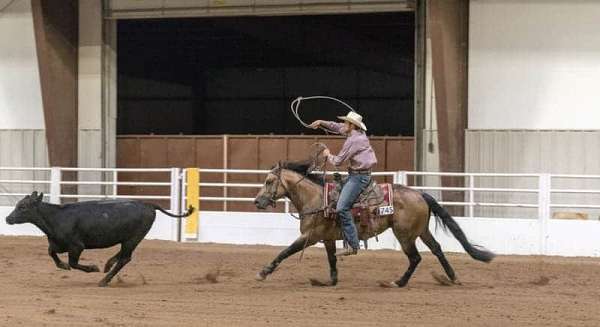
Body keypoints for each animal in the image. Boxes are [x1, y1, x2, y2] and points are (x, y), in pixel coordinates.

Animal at [252, 161, 492, 288]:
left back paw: (398, 282)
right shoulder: (327, 238)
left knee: (416, 257)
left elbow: (285, 252)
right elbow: (332, 260)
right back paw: (451, 277)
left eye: (269, 181)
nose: (257, 201)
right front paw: (331, 281)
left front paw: (263, 272)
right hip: (421, 231)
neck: (316, 199)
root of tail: (420, 194)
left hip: (405, 235)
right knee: (437, 250)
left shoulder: (310, 236)